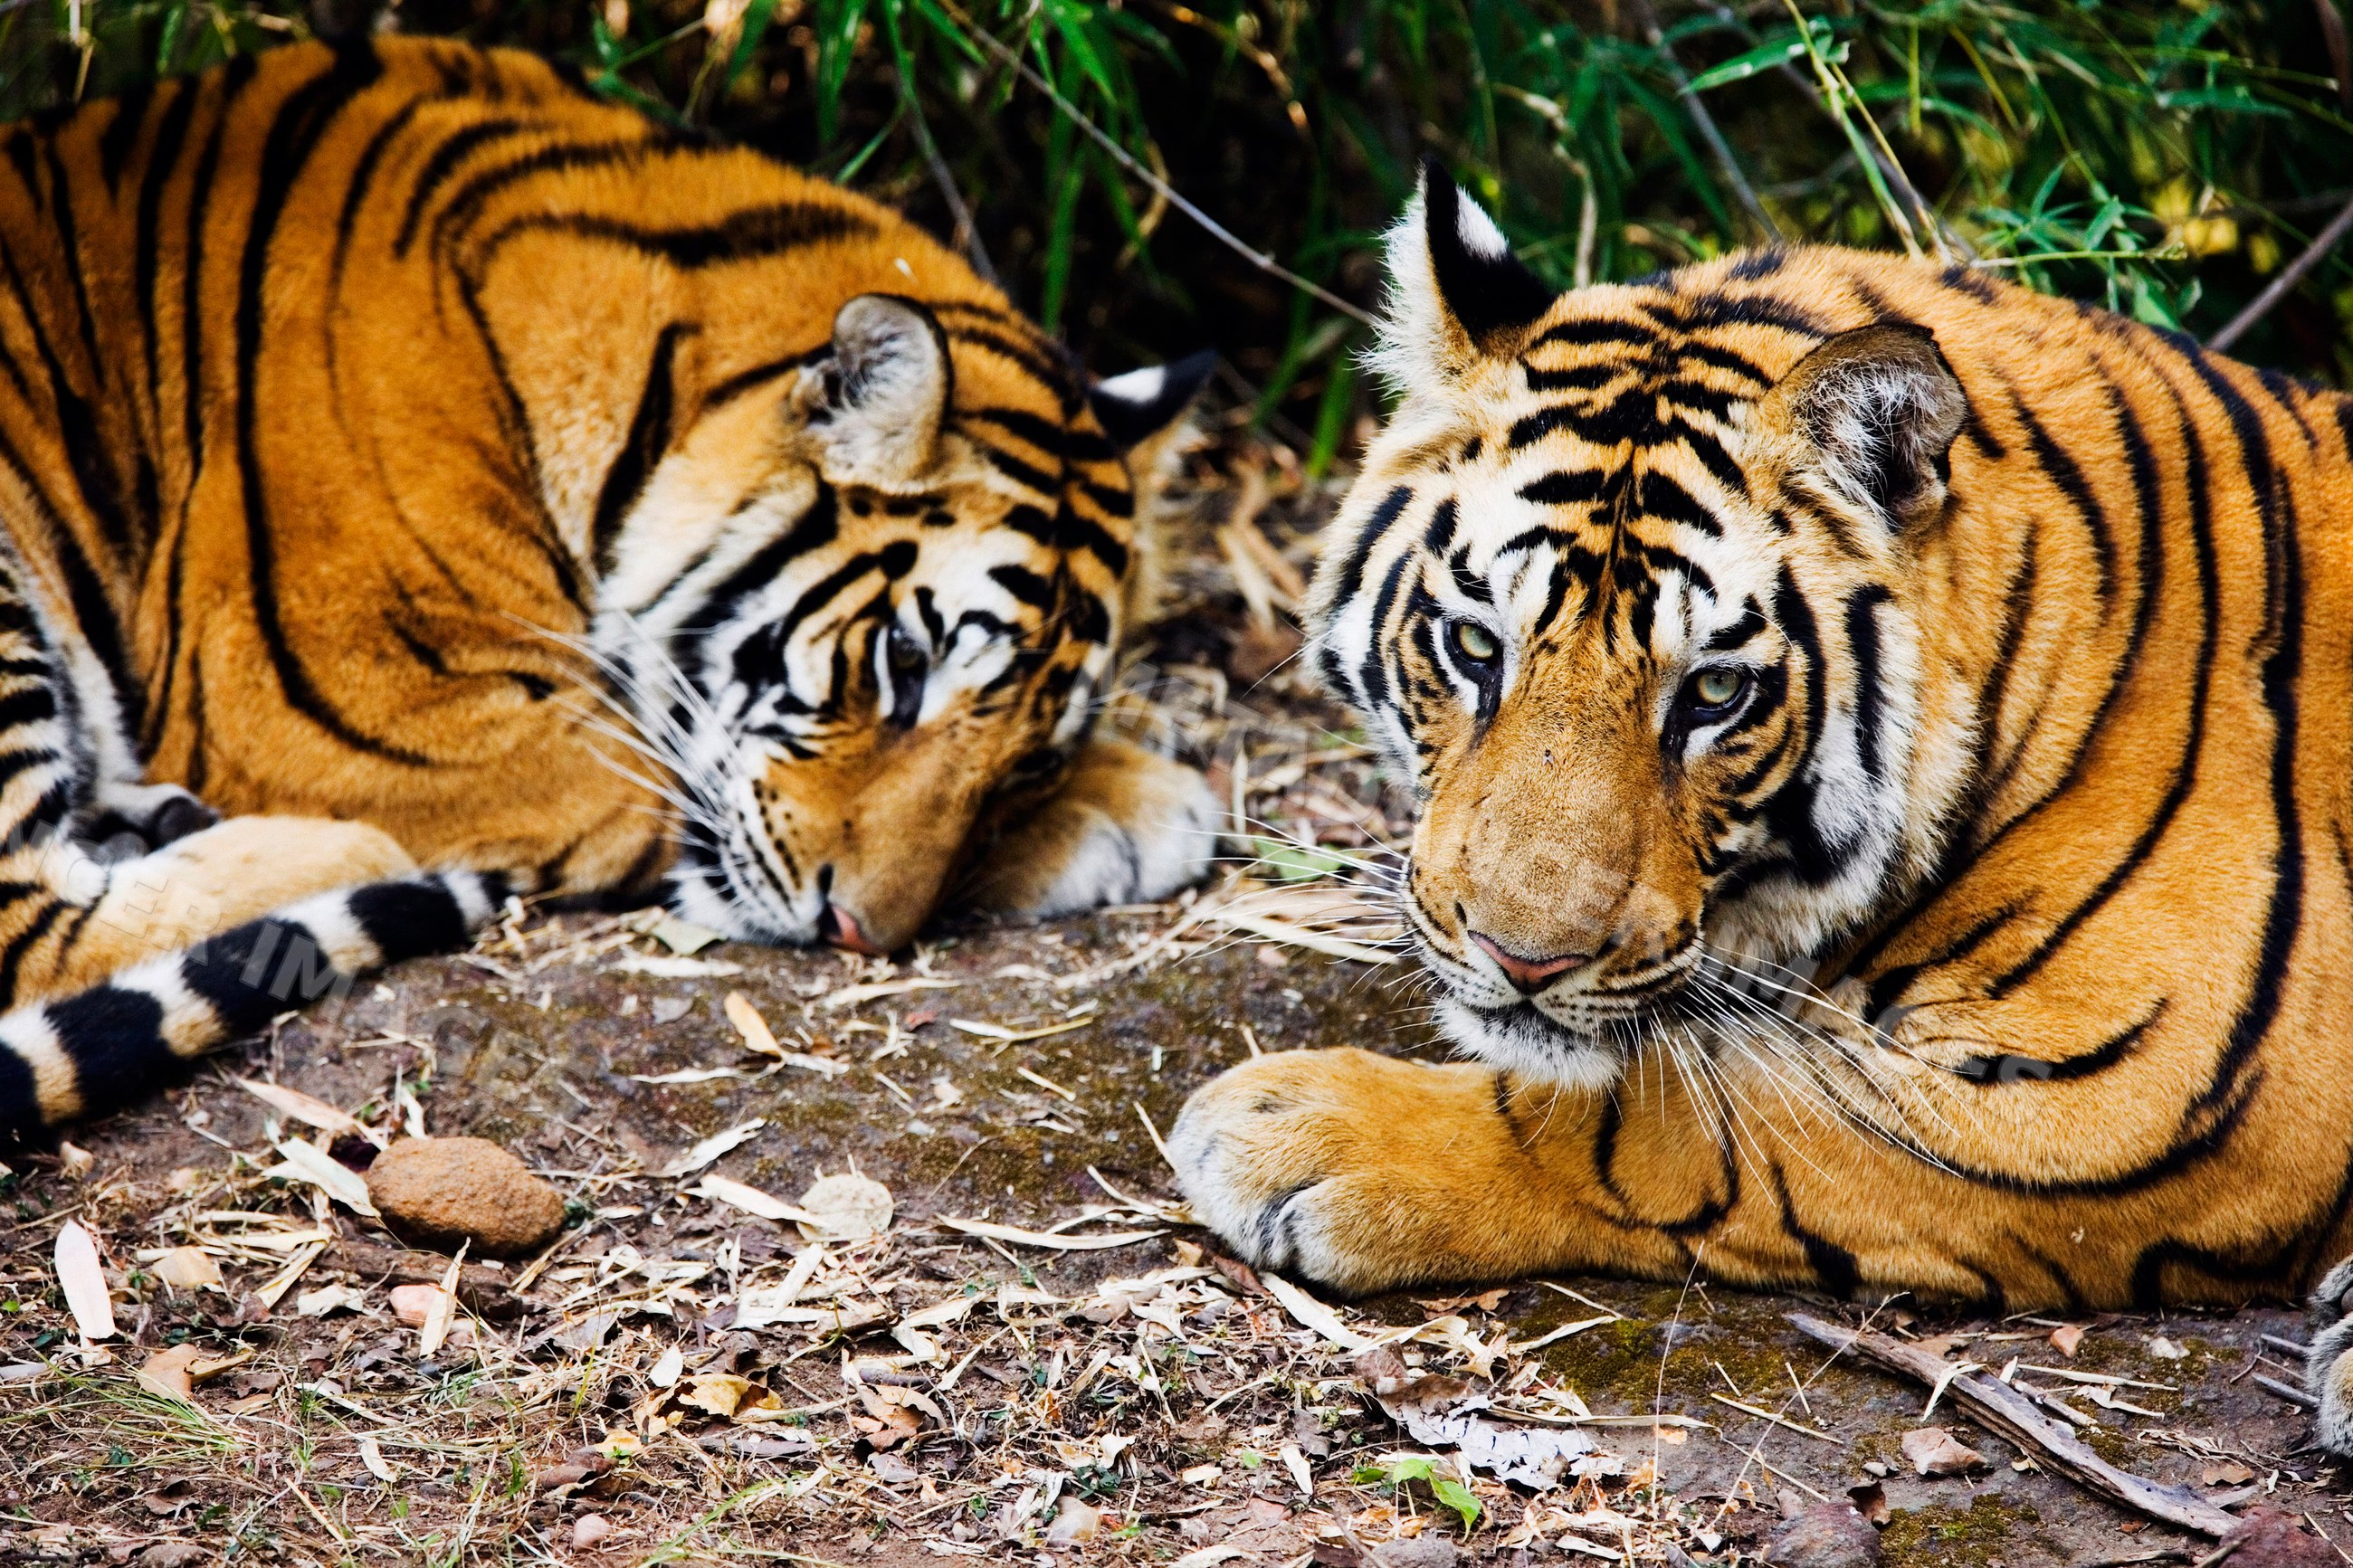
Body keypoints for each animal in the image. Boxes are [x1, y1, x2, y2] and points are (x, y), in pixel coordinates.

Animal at [0, 36, 1221, 1135]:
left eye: (1028, 760)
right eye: (903, 664)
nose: (858, 932)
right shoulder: (372, 703)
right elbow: (645, 792)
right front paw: (1143, 804)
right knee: (38, 929)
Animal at [1170, 163, 2353, 1454]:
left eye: (1712, 693)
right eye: (1474, 646)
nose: (1519, 960)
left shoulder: (2160, 1100)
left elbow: (1672, 1120)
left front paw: (1293, 1125)